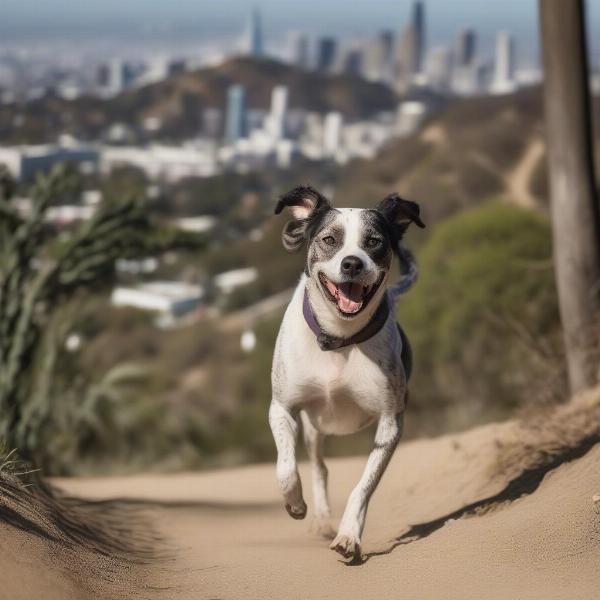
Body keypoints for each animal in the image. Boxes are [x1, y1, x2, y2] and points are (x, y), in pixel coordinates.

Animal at [270, 185, 424, 560]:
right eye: (329, 239)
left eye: (374, 242)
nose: (352, 263)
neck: (340, 339)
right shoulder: (282, 408)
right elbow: (285, 467)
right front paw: (295, 505)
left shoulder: (390, 423)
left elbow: (363, 486)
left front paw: (349, 536)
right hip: (314, 428)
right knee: (319, 467)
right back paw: (320, 519)